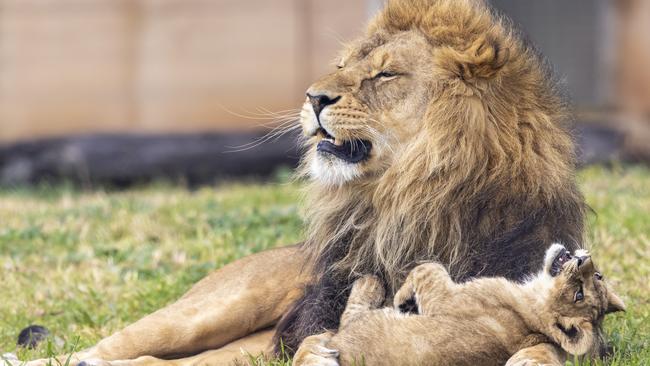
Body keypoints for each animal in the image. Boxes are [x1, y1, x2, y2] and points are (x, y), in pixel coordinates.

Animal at [24, 0, 584, 366]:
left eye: (384, 75)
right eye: (342, 65)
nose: (313, 97)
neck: (407, 201)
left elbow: (549, 347)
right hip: (208, 311)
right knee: (100, 350)